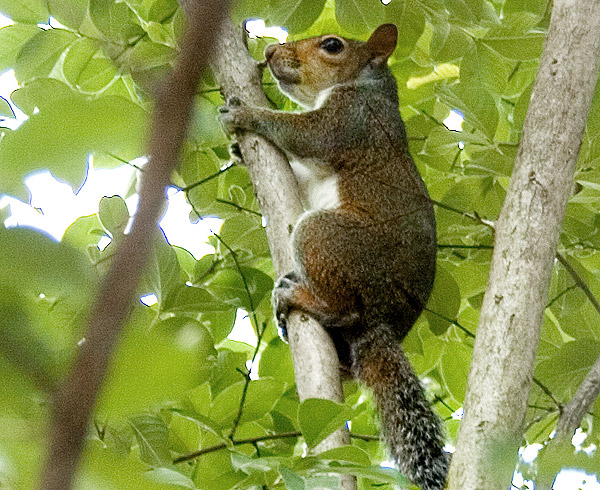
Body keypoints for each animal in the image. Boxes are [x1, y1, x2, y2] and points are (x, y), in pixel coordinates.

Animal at [218, 24, 448, 490]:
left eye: (332, 46)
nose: (271, 52)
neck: (366, 85)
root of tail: (380, 322)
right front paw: (238, 152)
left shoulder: (350, 118)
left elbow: (306, 134)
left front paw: (246, 113)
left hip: (328, 239)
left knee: (343, 306)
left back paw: (302, 298)